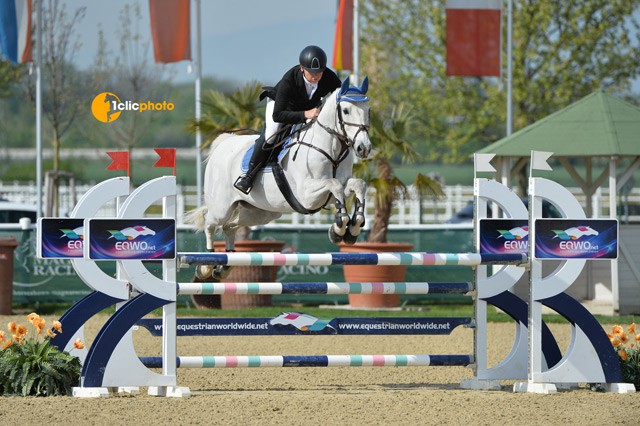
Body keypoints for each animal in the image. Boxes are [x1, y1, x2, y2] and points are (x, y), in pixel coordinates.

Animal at [185, 78, 372, 278]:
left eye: (368, 110)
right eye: (345, 110)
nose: (364, 148)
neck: (331, 149)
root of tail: (224, 143)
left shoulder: (335, 190)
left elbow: (358, 184)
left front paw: (352, 228)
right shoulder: (307, 196)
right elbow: (335, 185)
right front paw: (339, 228)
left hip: (261, 212)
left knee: (229, 227)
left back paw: (224, 266)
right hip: (222, 208)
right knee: (210, 224)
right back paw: (205, 265)